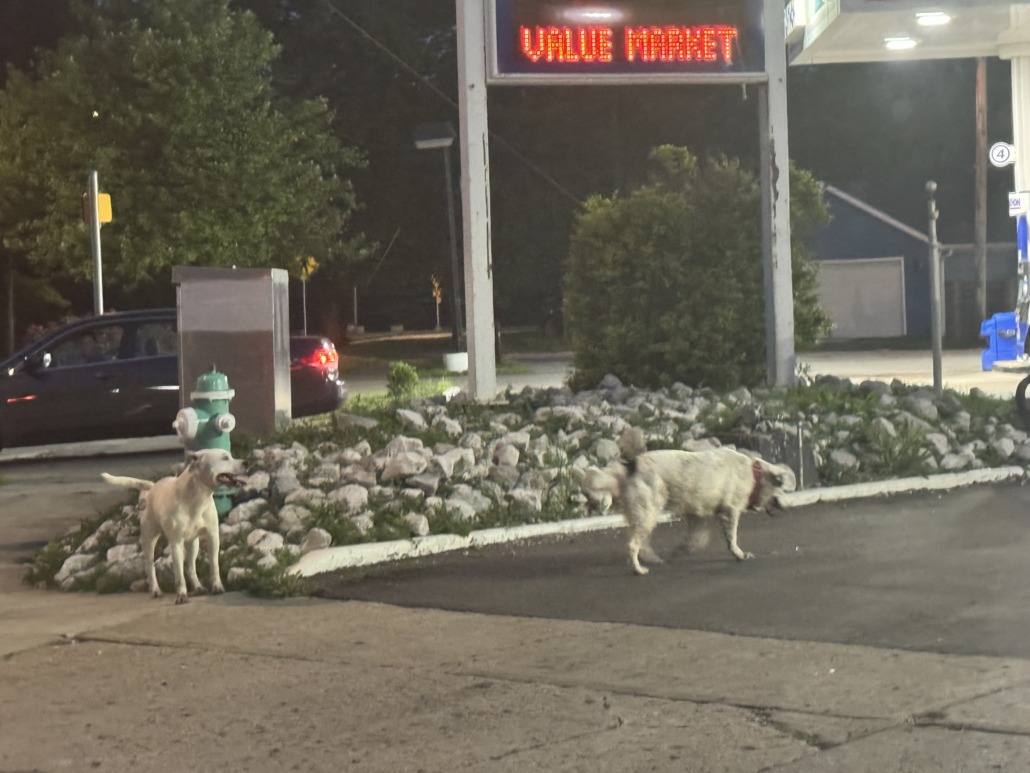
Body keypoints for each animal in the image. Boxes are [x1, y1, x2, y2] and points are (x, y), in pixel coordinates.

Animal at [102, 448, 246, 603]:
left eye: (231, 456)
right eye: (225, 458)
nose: (246, 463)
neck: (197, 498)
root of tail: (153, 487)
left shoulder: (213, 536)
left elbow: (214, 565)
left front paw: (217, 586)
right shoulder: (176, 542)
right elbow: (179, 574)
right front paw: (181, 594)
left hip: (193, 543)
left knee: (191, 566)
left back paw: (198, 587)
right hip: (149, 539)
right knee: (150, 566)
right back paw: (155, 590)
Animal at [584, 428, 796, 575]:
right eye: (784, 490)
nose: (789, 507)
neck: (755, 475)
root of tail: (631, 466)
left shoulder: (697, 515)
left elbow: (696, 538)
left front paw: (682, 550)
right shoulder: (730, 512)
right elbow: (732, 538)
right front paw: (739, 554)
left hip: (641, 515)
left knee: (641, 544)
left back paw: (653, 559)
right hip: (648, 513)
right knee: (633, 545)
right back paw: (639, 569)